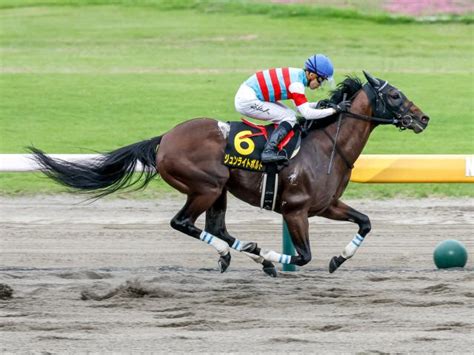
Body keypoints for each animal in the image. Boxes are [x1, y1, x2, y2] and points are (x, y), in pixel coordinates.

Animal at [29, 71, 430, 278]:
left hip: (218, 189)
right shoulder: (296, 210)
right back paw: (240, 255)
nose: (423, 118)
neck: (327, 145)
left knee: (216, 227)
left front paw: (337, 259)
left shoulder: (326, 205)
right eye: (395, 95)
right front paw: (273, 258)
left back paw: (245, 253)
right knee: (184, 223)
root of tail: (164, 139)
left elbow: (365, 222)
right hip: (205, 186)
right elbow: (302, 256)